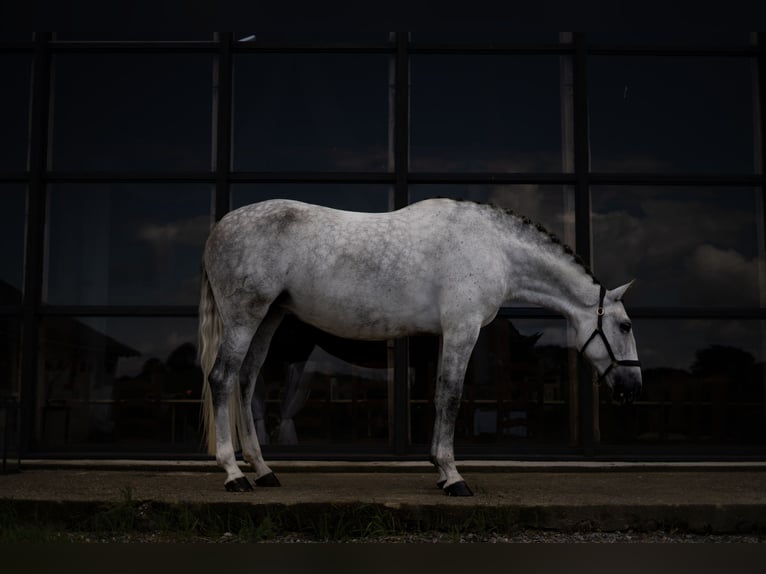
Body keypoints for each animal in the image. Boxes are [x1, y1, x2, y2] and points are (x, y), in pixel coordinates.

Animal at [200, 198, 640, 496]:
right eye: (625, 325)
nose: (633, 387)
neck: (493, 247)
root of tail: (221, 227)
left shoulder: (446, 336)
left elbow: (439, 395)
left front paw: (441, 471)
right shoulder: (462, 329)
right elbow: (451, 397)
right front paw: (454, 476)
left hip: (269, 319)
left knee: (246, 384)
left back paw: (263, 470)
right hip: (245, 317)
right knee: (222, 379)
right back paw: (234, 475)